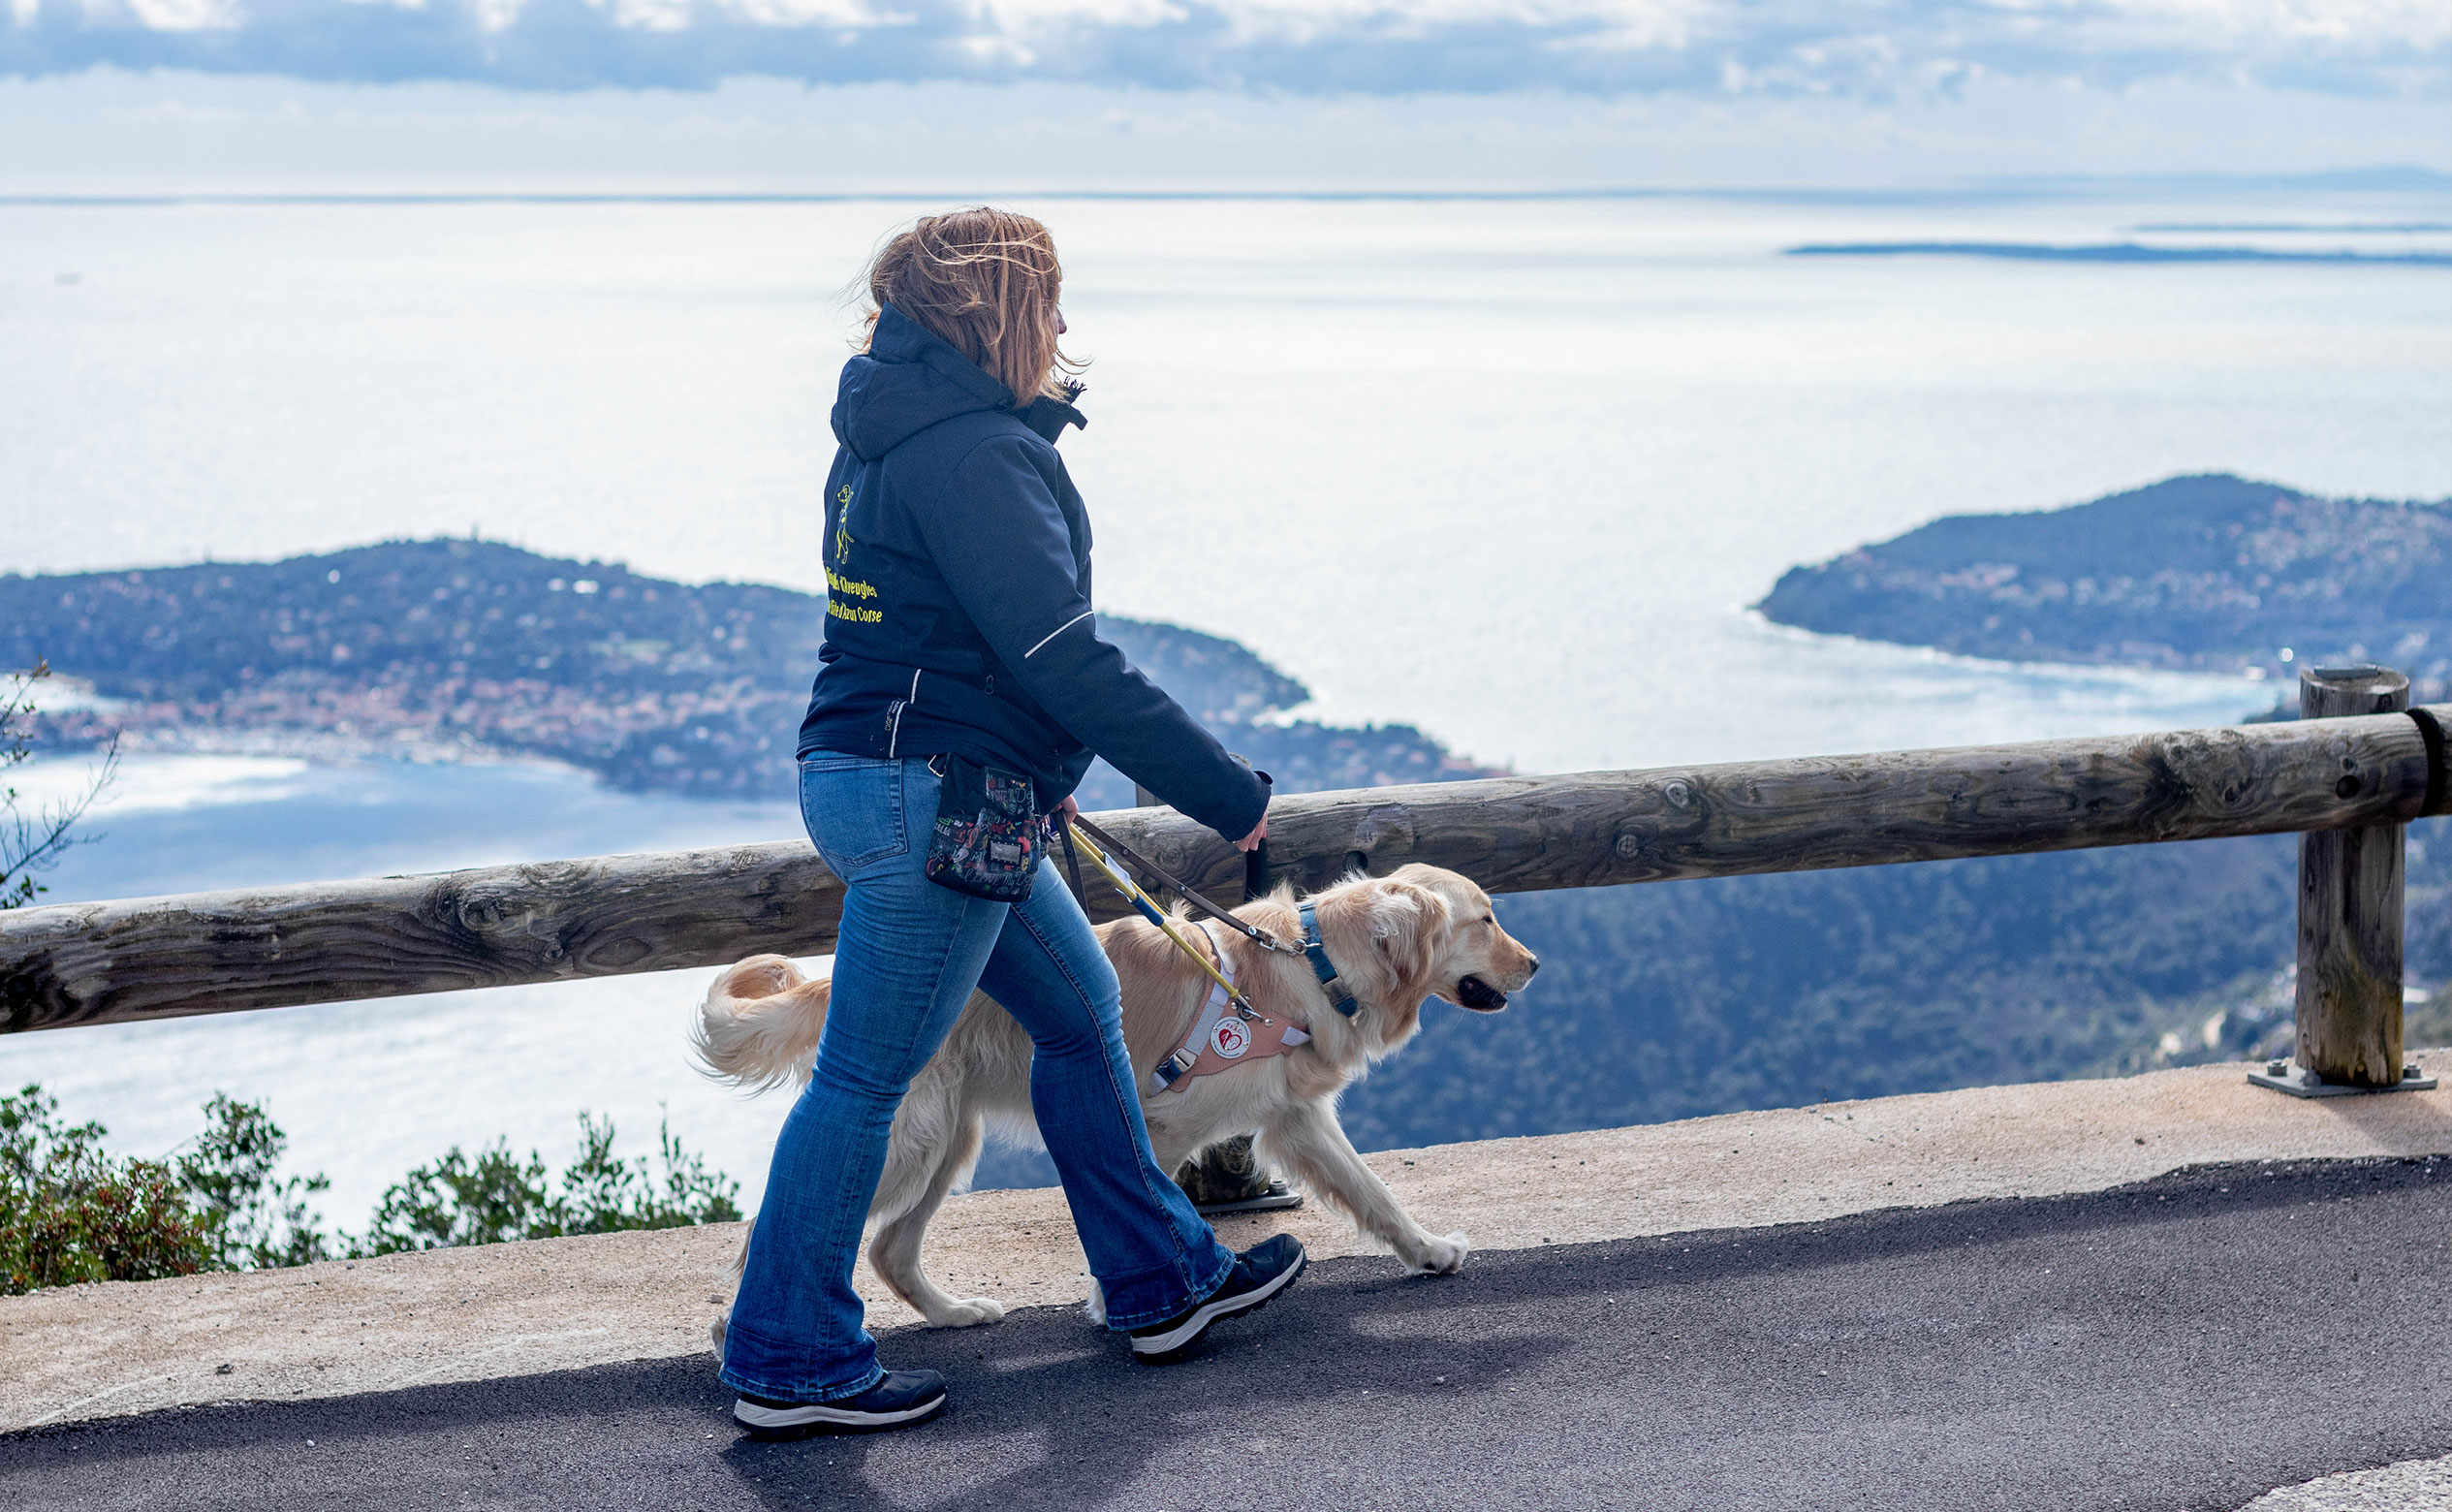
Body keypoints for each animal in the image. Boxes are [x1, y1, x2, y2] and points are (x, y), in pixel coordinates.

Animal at [691, 867, 1529, 1323]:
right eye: (1486, 920)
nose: (1537, 964)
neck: (1312, 963)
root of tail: (846, 981)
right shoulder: (1157, 1119)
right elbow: (1142, 1203)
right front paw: (1131, 1302)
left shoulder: (1297, 1119)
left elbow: (1375, 1193)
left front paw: (1429, 1250)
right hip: (905, 1140)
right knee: (776, 1228)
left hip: (946, 1137)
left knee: (890, 1249)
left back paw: (955, 1314)